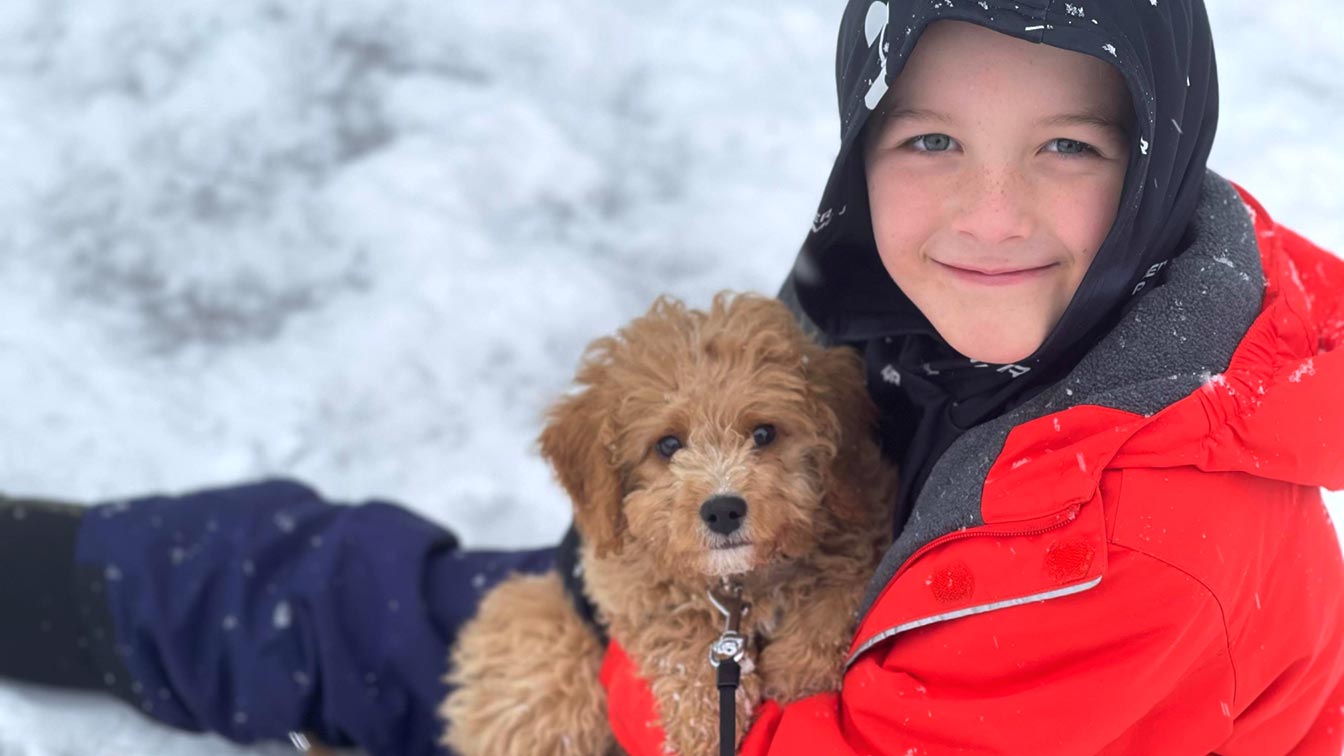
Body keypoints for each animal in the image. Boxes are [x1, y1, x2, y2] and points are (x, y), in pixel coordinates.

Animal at [446, 293, 897, 753]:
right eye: (667, 444)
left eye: (764, 433)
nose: (723, 510)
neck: (738, 585)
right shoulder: (624, 583)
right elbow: (676, 630)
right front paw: (704, 724)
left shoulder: (860, 524)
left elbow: (833, 599)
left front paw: (800, 679)